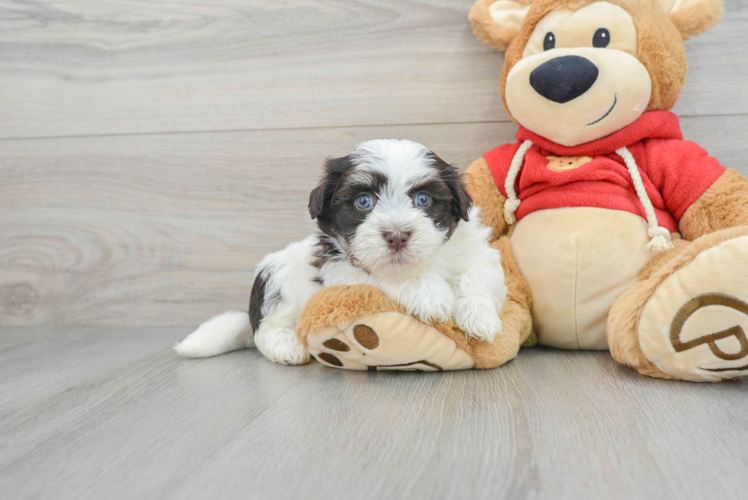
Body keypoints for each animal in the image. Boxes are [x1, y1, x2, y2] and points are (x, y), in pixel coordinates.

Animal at [177, 139, 508, 366]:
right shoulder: (341, 272)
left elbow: (476, 274)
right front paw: (430, 294)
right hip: (277, 279)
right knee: (266, 327)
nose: (397, 235)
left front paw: (479, 317)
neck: (422, 264)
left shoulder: (479, 255)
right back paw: (287, 347)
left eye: (423, 199)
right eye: (363, 202)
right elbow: (384, 278)